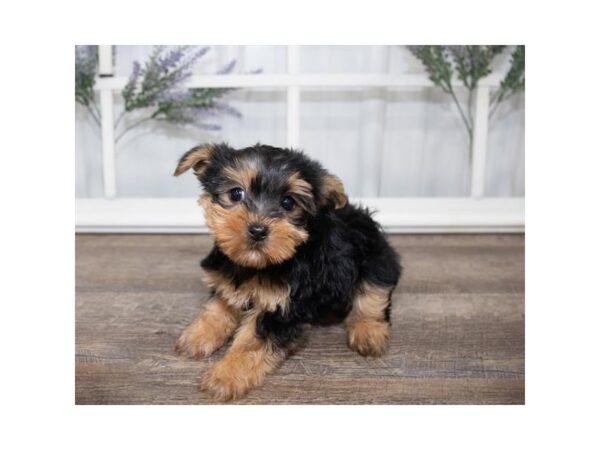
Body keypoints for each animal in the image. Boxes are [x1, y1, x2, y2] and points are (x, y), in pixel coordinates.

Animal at [171, 142, 400, 400]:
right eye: (236, 193)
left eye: (288, 203)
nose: (258, 230)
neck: (258, 264)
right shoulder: (227, 279)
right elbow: (217, 309)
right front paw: (197, 336)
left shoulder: (283, 308)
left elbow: (252, 343)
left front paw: (225, 376)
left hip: (375, 257)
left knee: (375, 292)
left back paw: (368, 332)